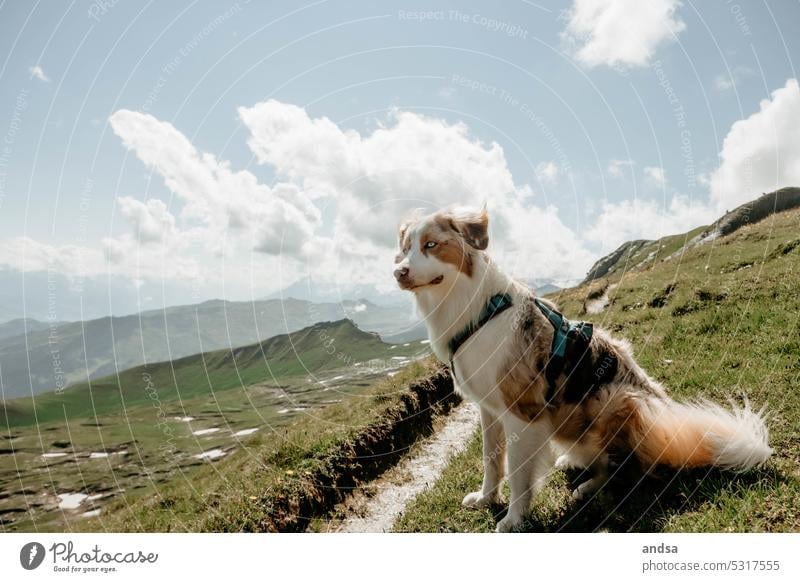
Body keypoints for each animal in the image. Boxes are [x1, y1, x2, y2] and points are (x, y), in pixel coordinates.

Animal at [390, 206, 772, 532]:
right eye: (405, 249)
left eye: (431, 245)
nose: (398, 273)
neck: (477, 309)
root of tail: (672, 429)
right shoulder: (488, 408)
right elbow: (491, 459)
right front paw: (486, 498)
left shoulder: (522, 413)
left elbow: (518, 471)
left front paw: (514, 518)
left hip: (617, 398)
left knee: (627, 468)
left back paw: (588, 486)